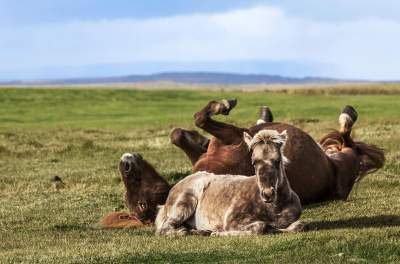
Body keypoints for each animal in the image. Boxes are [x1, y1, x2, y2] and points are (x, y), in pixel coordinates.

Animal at [155, 129, 302, 236]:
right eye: (254, 162)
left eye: (277, 160)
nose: (268, 194)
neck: (274, 210)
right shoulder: (231, 220)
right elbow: (260, 226)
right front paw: (218, 233)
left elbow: (299, 225)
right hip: (184, 203)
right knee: (164, 228)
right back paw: (185, 231)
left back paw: (201, 231)